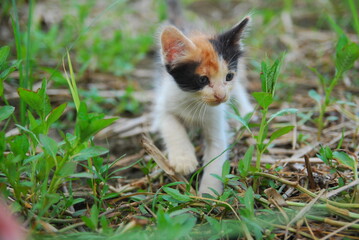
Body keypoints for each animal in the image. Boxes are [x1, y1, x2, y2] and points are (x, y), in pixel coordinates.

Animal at [153, 16, 255, 195]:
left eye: (229, 76)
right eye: (202, 80)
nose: (221, 95)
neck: (193, 100)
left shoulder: (216, 118)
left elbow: (217, 153)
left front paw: (208, 194)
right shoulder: (164, 103)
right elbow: (171, 124)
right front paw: (183, 159)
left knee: (239, 88)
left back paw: (245, 111)